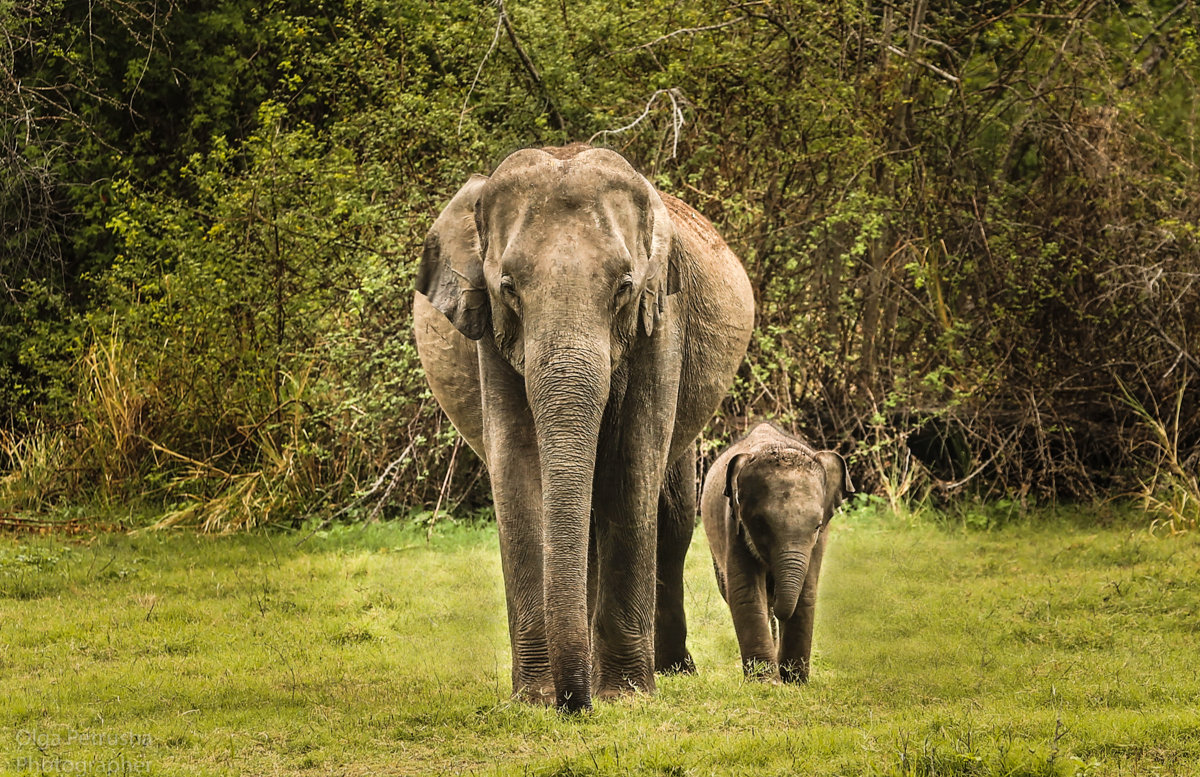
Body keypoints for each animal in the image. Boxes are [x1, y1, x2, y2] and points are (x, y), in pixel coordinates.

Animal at [412, 143, 748, 709]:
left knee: (674, 513)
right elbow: (518, 471)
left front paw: (625, 697)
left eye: (624, 288)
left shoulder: (662, 322)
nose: (575, 706)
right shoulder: (490, 338)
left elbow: (631, 469)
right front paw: (537, 698)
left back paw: (670, 671)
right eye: (508, 288)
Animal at [700, 422, 859, 681]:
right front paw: (766, 683)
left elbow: (806, 592)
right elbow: (746, 592)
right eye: (760, 524)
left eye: (817, 526)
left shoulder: (819, 541)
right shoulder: (733, 524)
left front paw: (795, 681)